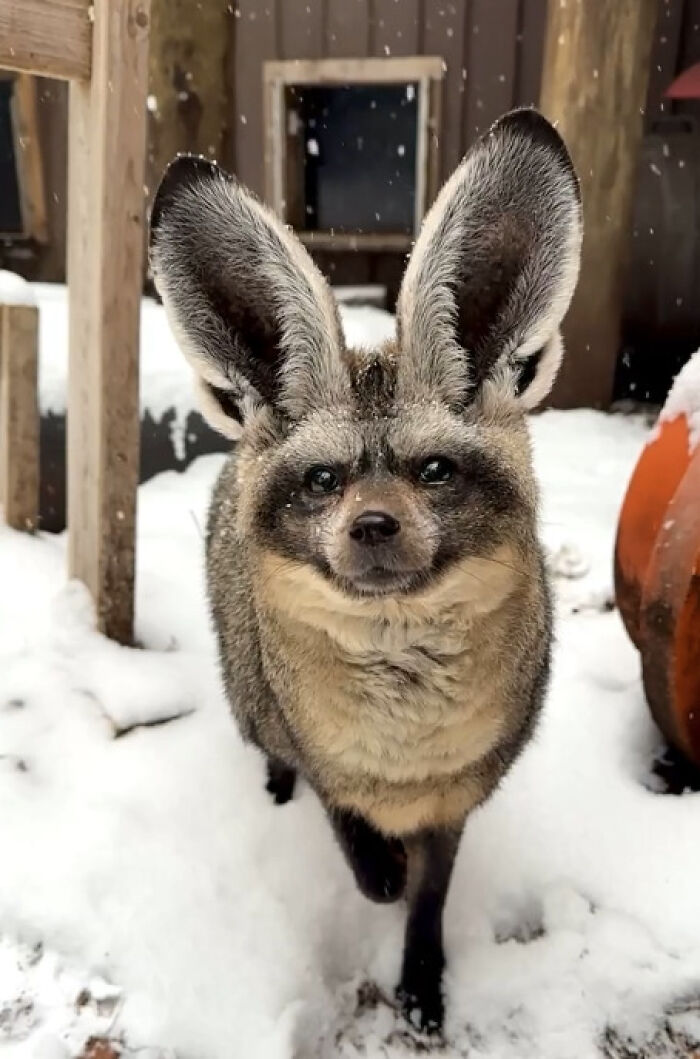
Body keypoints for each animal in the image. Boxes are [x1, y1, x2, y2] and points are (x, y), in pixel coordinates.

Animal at [149, 107, 582, 1033]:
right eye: (323, 480)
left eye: (434, 472)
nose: (373, 523)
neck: (402, 747)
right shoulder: (326, 762)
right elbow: (363, 852)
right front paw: (375, 864)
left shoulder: (457, 803)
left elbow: (428, 901)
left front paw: (422, 983)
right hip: (249, 700)